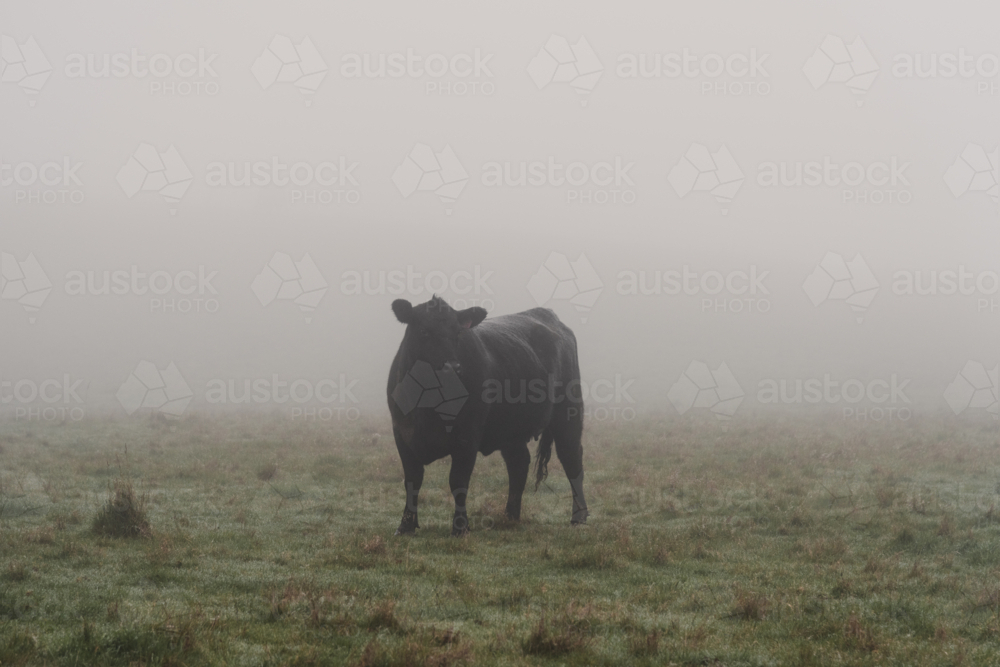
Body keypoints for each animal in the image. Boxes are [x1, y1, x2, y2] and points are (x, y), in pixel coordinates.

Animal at [387, 296, 588, 536]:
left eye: (457, 332)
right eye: (423, 331)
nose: (452, 367)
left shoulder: (468, 435)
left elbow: (458, 481)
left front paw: (460, 527)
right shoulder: (401, 433)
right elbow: (412, 480)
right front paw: (405, 526)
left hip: (569, 413)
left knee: (572, 460)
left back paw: (579, 517)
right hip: (511, 431)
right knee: (519, 464)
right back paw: (510, 515)